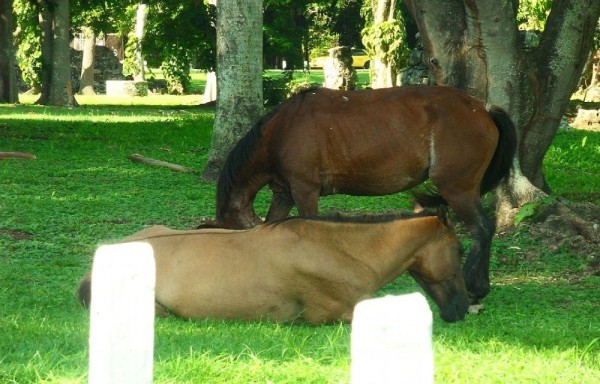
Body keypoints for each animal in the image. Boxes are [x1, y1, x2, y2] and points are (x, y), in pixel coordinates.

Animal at [216, 85, 516, 304]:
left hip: (457, 189)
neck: (283, 129)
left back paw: (474, 287)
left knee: (482, 229)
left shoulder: (304, 190)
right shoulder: (284, 193)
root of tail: (484, 110)